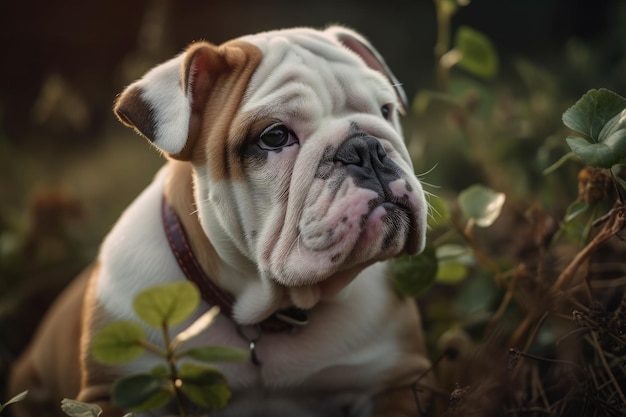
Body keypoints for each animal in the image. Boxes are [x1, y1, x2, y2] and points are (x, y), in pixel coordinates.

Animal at [8, 26, 428, 416]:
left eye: (386, 110)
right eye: (275, 136)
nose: (367, 149)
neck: (265, 313)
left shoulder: (396, 381)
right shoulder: (113, 394)